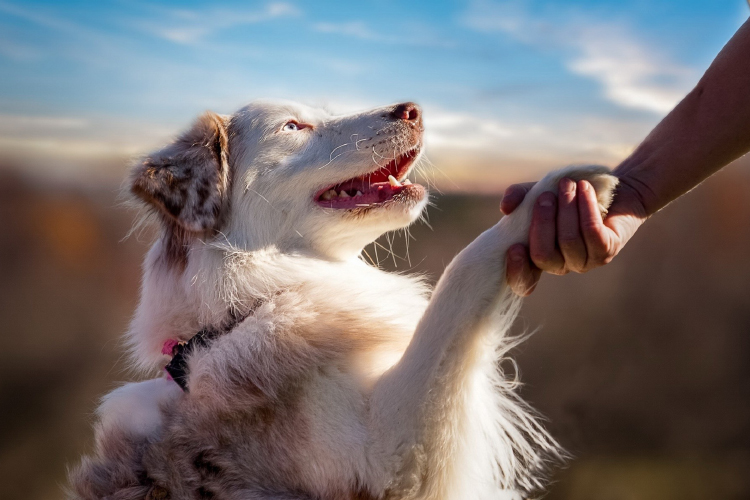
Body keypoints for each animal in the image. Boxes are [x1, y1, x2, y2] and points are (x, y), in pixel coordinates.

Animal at [67, 100, 620, 500]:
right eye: (294, 125)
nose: (413, 109)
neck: (246, 308)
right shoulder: (390, 459)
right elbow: (461, 277)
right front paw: (561, 190)